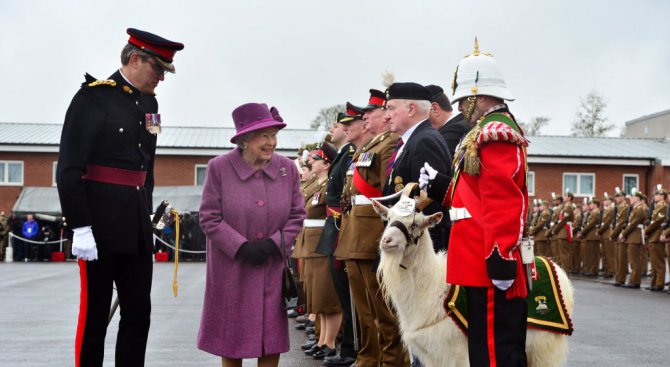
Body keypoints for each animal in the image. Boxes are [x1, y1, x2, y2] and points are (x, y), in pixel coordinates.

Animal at [370, 187, 576, 367]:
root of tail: (557, 269)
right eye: (389, 218)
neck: (433, 286)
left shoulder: (457, 355)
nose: (386, 241)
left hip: (545, 347)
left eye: (415, 224)